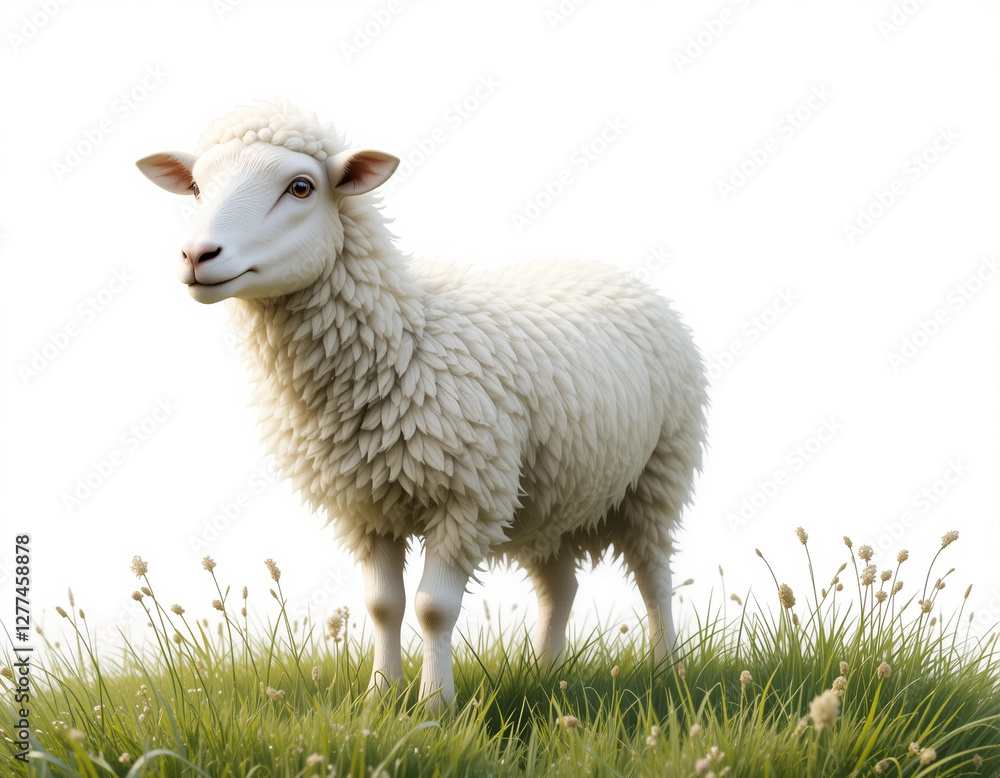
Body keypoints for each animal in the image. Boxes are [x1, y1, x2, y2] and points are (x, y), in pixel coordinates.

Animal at [137, 100, 708, 709]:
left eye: (300, 187)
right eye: (197, 187)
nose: (197, 255)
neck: (404, 338)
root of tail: (611, 271)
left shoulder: (469, 494)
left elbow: (435, 609)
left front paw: (436, 706)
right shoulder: (366, 507)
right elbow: (382, 607)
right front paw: (380, 699)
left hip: (657, 473)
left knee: (654, 578)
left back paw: (667, 672)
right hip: (550, 493)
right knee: (561, 586)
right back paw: (546, 672)